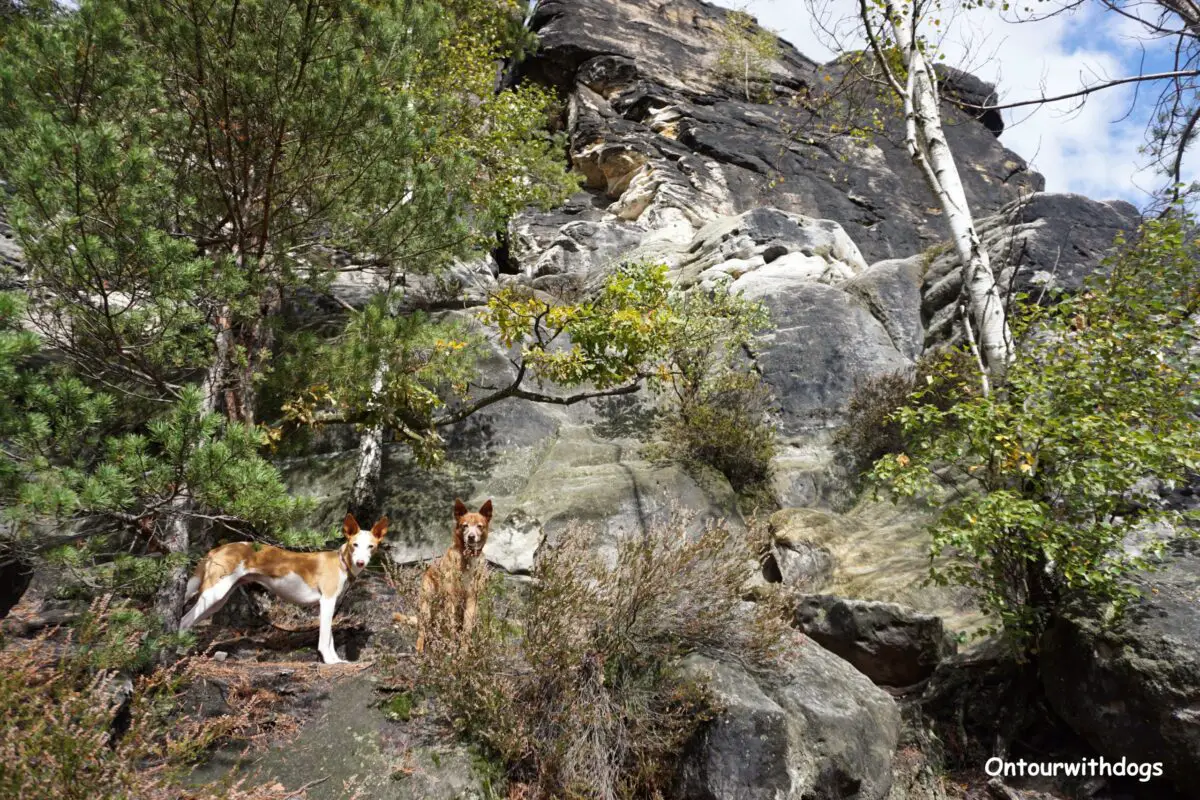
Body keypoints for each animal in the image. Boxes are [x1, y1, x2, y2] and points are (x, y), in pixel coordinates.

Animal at [180, 513, 386, 662]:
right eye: (355, 545)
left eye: (370, 546)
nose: (360, 562)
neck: (341, 562)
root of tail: (218, 548)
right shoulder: (326, 602)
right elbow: (324, 638)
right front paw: (329, 661)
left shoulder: (330, 604)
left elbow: (329, 637)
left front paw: (336, 660)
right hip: (213, 594)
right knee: (183, 621)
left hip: (217, 600)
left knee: (187, 621)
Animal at [417, 501, 492, 657]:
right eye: (465, 525)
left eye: (479, 526)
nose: (471, 537)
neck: (467, 559)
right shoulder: (450, 598)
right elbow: (451, 629)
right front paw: (451, 650)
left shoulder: (471, 600)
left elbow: (466, 630)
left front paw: (463, 652)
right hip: (426, 604)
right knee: (423, 629)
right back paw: (421, 647)